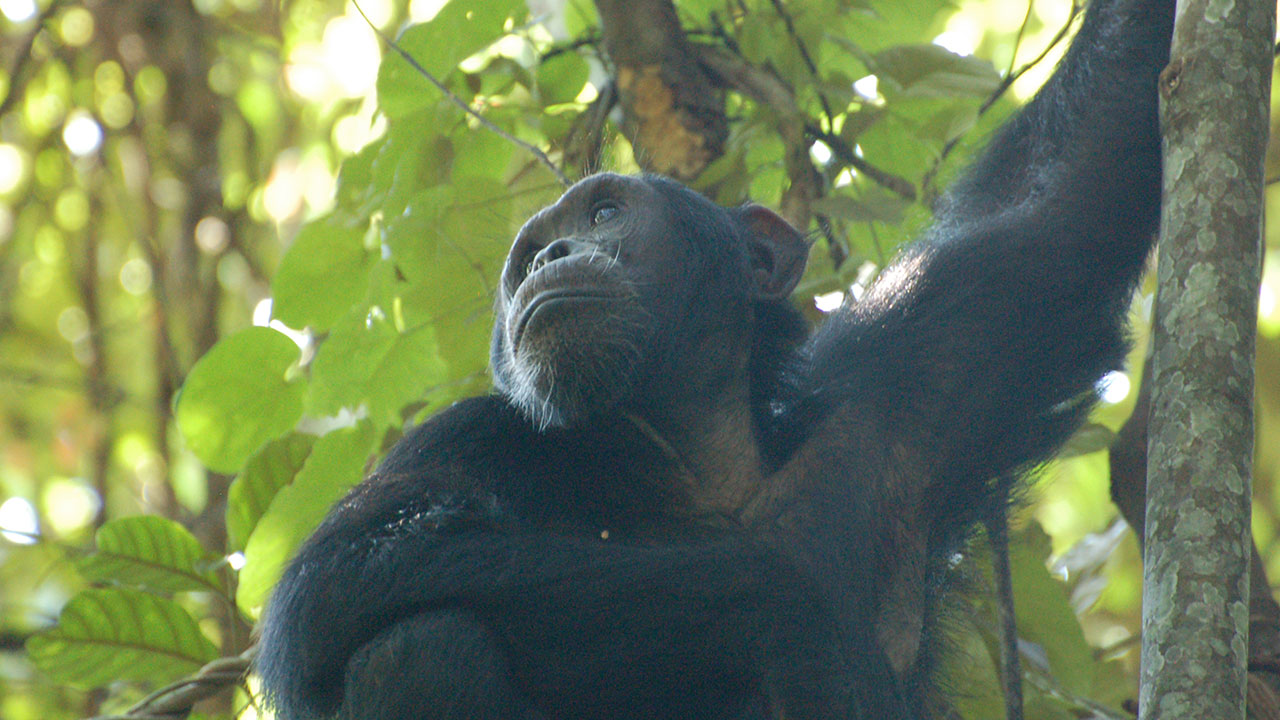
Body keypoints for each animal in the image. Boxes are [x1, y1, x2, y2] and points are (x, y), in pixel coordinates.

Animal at [254, 0, 1172, 712]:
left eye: (605, 213)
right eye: (528, 255)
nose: (550, 258)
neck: (695, 455)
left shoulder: (927, 362)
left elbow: (1067, 205)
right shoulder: (462, 434)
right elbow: (338, 579)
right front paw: (803, 623)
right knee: (415, 646)